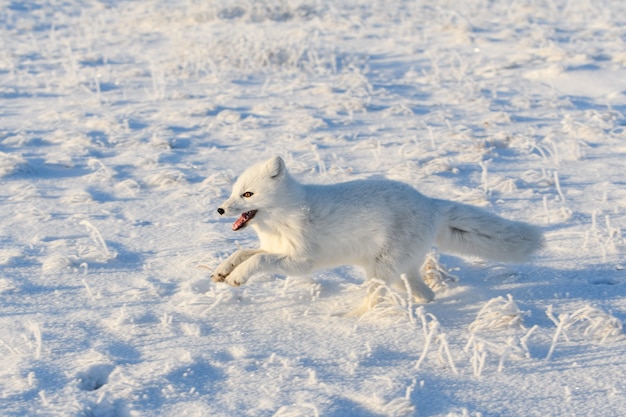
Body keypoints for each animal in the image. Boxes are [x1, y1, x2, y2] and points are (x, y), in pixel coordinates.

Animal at [211, 155, 540, 308]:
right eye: (234, 192)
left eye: (248, 195)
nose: (220, 210)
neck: (283, 217)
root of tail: (430, 203)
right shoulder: (276, 248)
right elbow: (244, 252)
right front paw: (223, 271)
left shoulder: (301, 261)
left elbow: (257, 260)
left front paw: (238, 277)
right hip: (393, 268)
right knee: (424, 292)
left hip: (380, 269)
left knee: (379, 296)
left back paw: (356, 318)